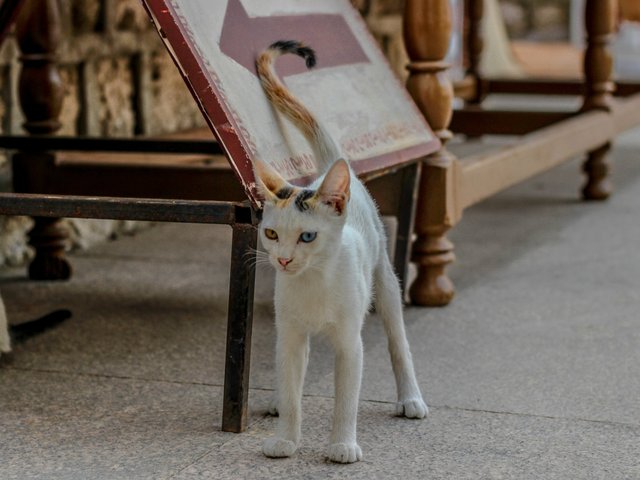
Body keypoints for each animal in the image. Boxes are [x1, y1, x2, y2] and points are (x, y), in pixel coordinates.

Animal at [255, 42, 430, 464]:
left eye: (307, 237)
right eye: (271, 233)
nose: (283, 260)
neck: (314, 282)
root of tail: (330, 170)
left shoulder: (351, 343)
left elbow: (345, 399)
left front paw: (342, 445)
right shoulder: (290, 334)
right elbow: (293, 389)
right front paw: (286, 438)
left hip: (385, 282)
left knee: (399, 344)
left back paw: (410, 397)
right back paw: (277, 400)